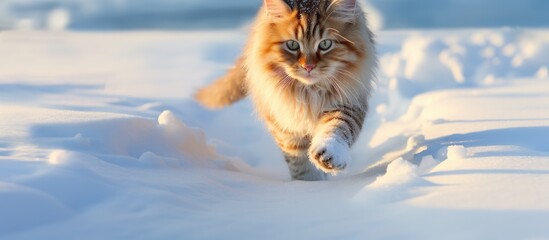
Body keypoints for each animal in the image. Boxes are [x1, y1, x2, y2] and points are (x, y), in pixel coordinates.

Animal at [194, 0, 376, 180]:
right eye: (292, 45)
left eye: (325, 44)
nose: (308, 67)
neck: (309, 92)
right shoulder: (283, 120)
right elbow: (299, 161)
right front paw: (309, 183)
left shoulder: (348, 102)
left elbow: (336, 129)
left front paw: (329, 155)